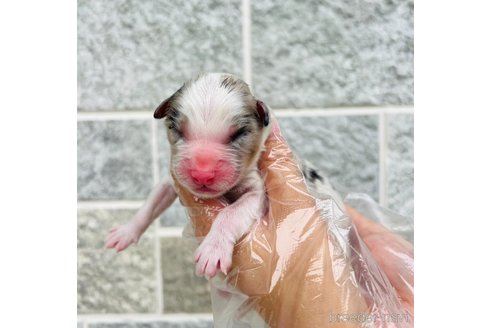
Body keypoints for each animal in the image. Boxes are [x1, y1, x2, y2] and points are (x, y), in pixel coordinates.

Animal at [105, 73, 270, 278]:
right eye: (177, 129)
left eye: (238, 134)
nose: (202, 174)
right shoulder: (171, 179)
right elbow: (151, 203)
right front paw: (127, 231)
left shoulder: (257, 191)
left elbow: (232, 212)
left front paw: (213, 249)